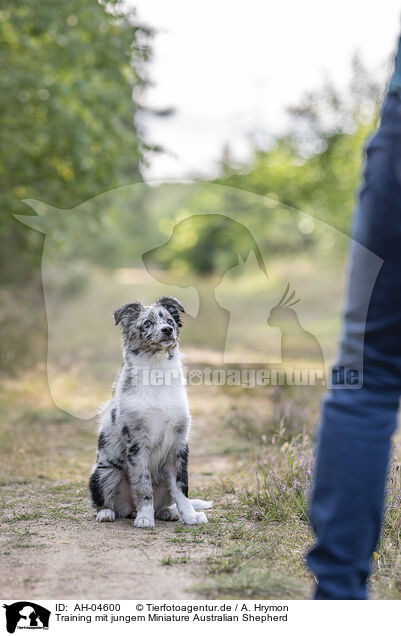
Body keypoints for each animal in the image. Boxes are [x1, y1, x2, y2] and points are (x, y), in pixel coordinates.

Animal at [88, 294, 211, 528]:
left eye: (170, 321)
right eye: (147, 323)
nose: (167, 330)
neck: (157, 372)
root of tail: (129, 510)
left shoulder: (179, 445)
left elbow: (182, 488)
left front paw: (190, 515)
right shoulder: (136, 443)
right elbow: (143, 484)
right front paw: (145, 518)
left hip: (162, 479)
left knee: (165, 500)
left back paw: (167, 512)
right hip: (105, 473)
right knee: (104, 503)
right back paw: (109, 513)